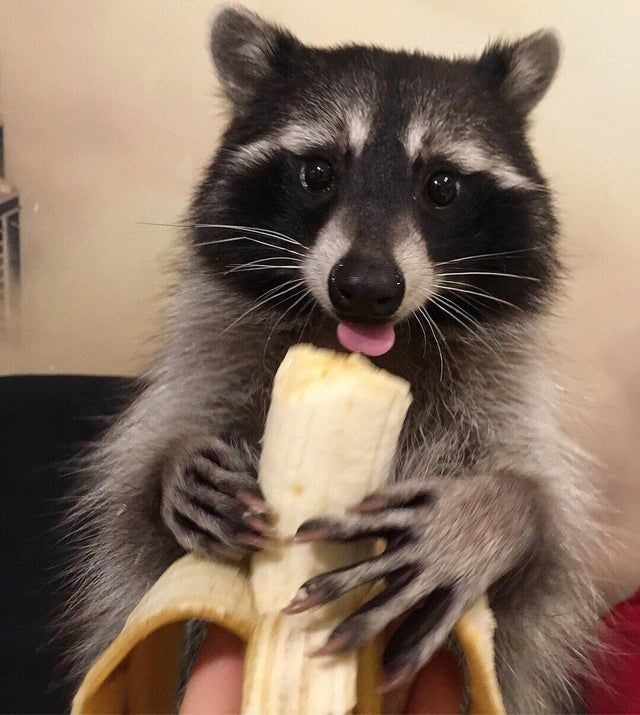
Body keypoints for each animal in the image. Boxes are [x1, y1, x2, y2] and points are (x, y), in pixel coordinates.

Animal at [67, 7, 600, 712]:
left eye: (442, 186)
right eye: (318, 172)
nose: (367, 288)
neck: (370, 346)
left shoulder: (503, 395)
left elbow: (547, 554)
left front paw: (497, 512)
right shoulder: (213, 359)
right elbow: (131, 522)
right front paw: (170, 467)